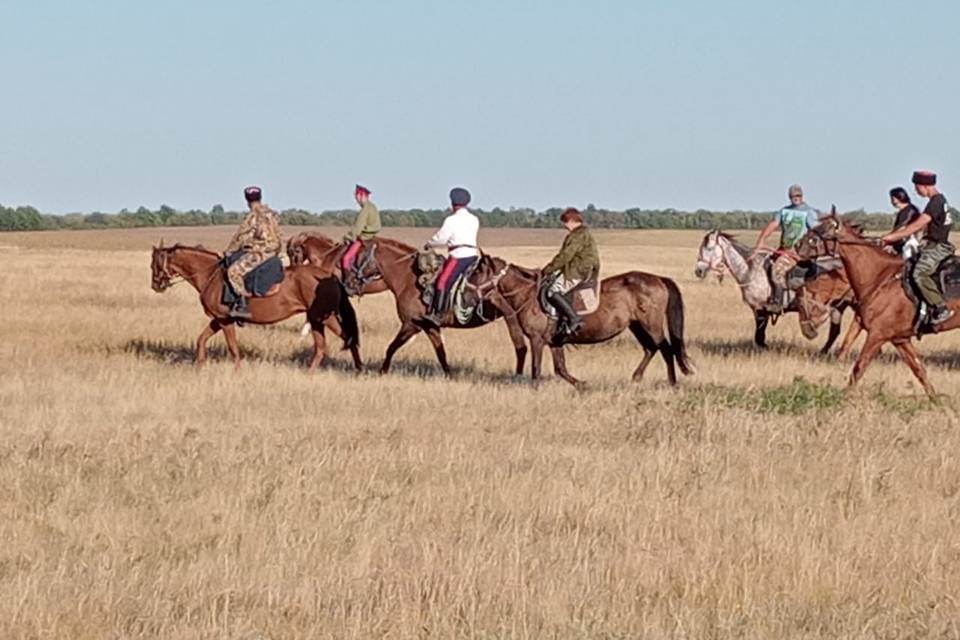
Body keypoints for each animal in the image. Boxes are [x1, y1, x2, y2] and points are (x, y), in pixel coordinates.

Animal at [148, 240, 362, 370]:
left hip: (326, 317)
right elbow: (201, 339)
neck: (211, 275)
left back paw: (359, 368)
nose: (155, 285)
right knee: (321, 347)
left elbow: (232, 347)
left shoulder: (225, 321)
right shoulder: (219, 320)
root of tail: (329, 276)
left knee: (348, 338)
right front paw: (199, 366)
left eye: (154, 265)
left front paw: (237, 371)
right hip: (316, 319)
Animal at [470, 256, 688, 388]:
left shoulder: (536, 339)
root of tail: (658, 279)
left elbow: (536, 368)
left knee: (665, 349)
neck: (527, 295)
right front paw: (582, 385)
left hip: (651, 325)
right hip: (637, 325)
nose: (468, 293)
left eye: (478, 272)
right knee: (651, 349)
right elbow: (561, 369)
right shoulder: (555, 342)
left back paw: (672, 383)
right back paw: (636, 377)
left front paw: (535, 389)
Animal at [692, 229, 860, 356]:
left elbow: (759, 336)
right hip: (838, 306)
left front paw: (766, 349)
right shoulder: (758, 310)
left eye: (708, 248)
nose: (698, 271)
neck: (751, 270)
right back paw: (823, 353)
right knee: (835, 331)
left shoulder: (760, 309)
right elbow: (759, 336)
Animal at [808, 212, 960, 396]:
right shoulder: (899, 339)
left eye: (824, 230)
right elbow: (919, 369)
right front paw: (934, 399)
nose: (800, 245)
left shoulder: (877, 335)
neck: (880, 278)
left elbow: (859, 367)